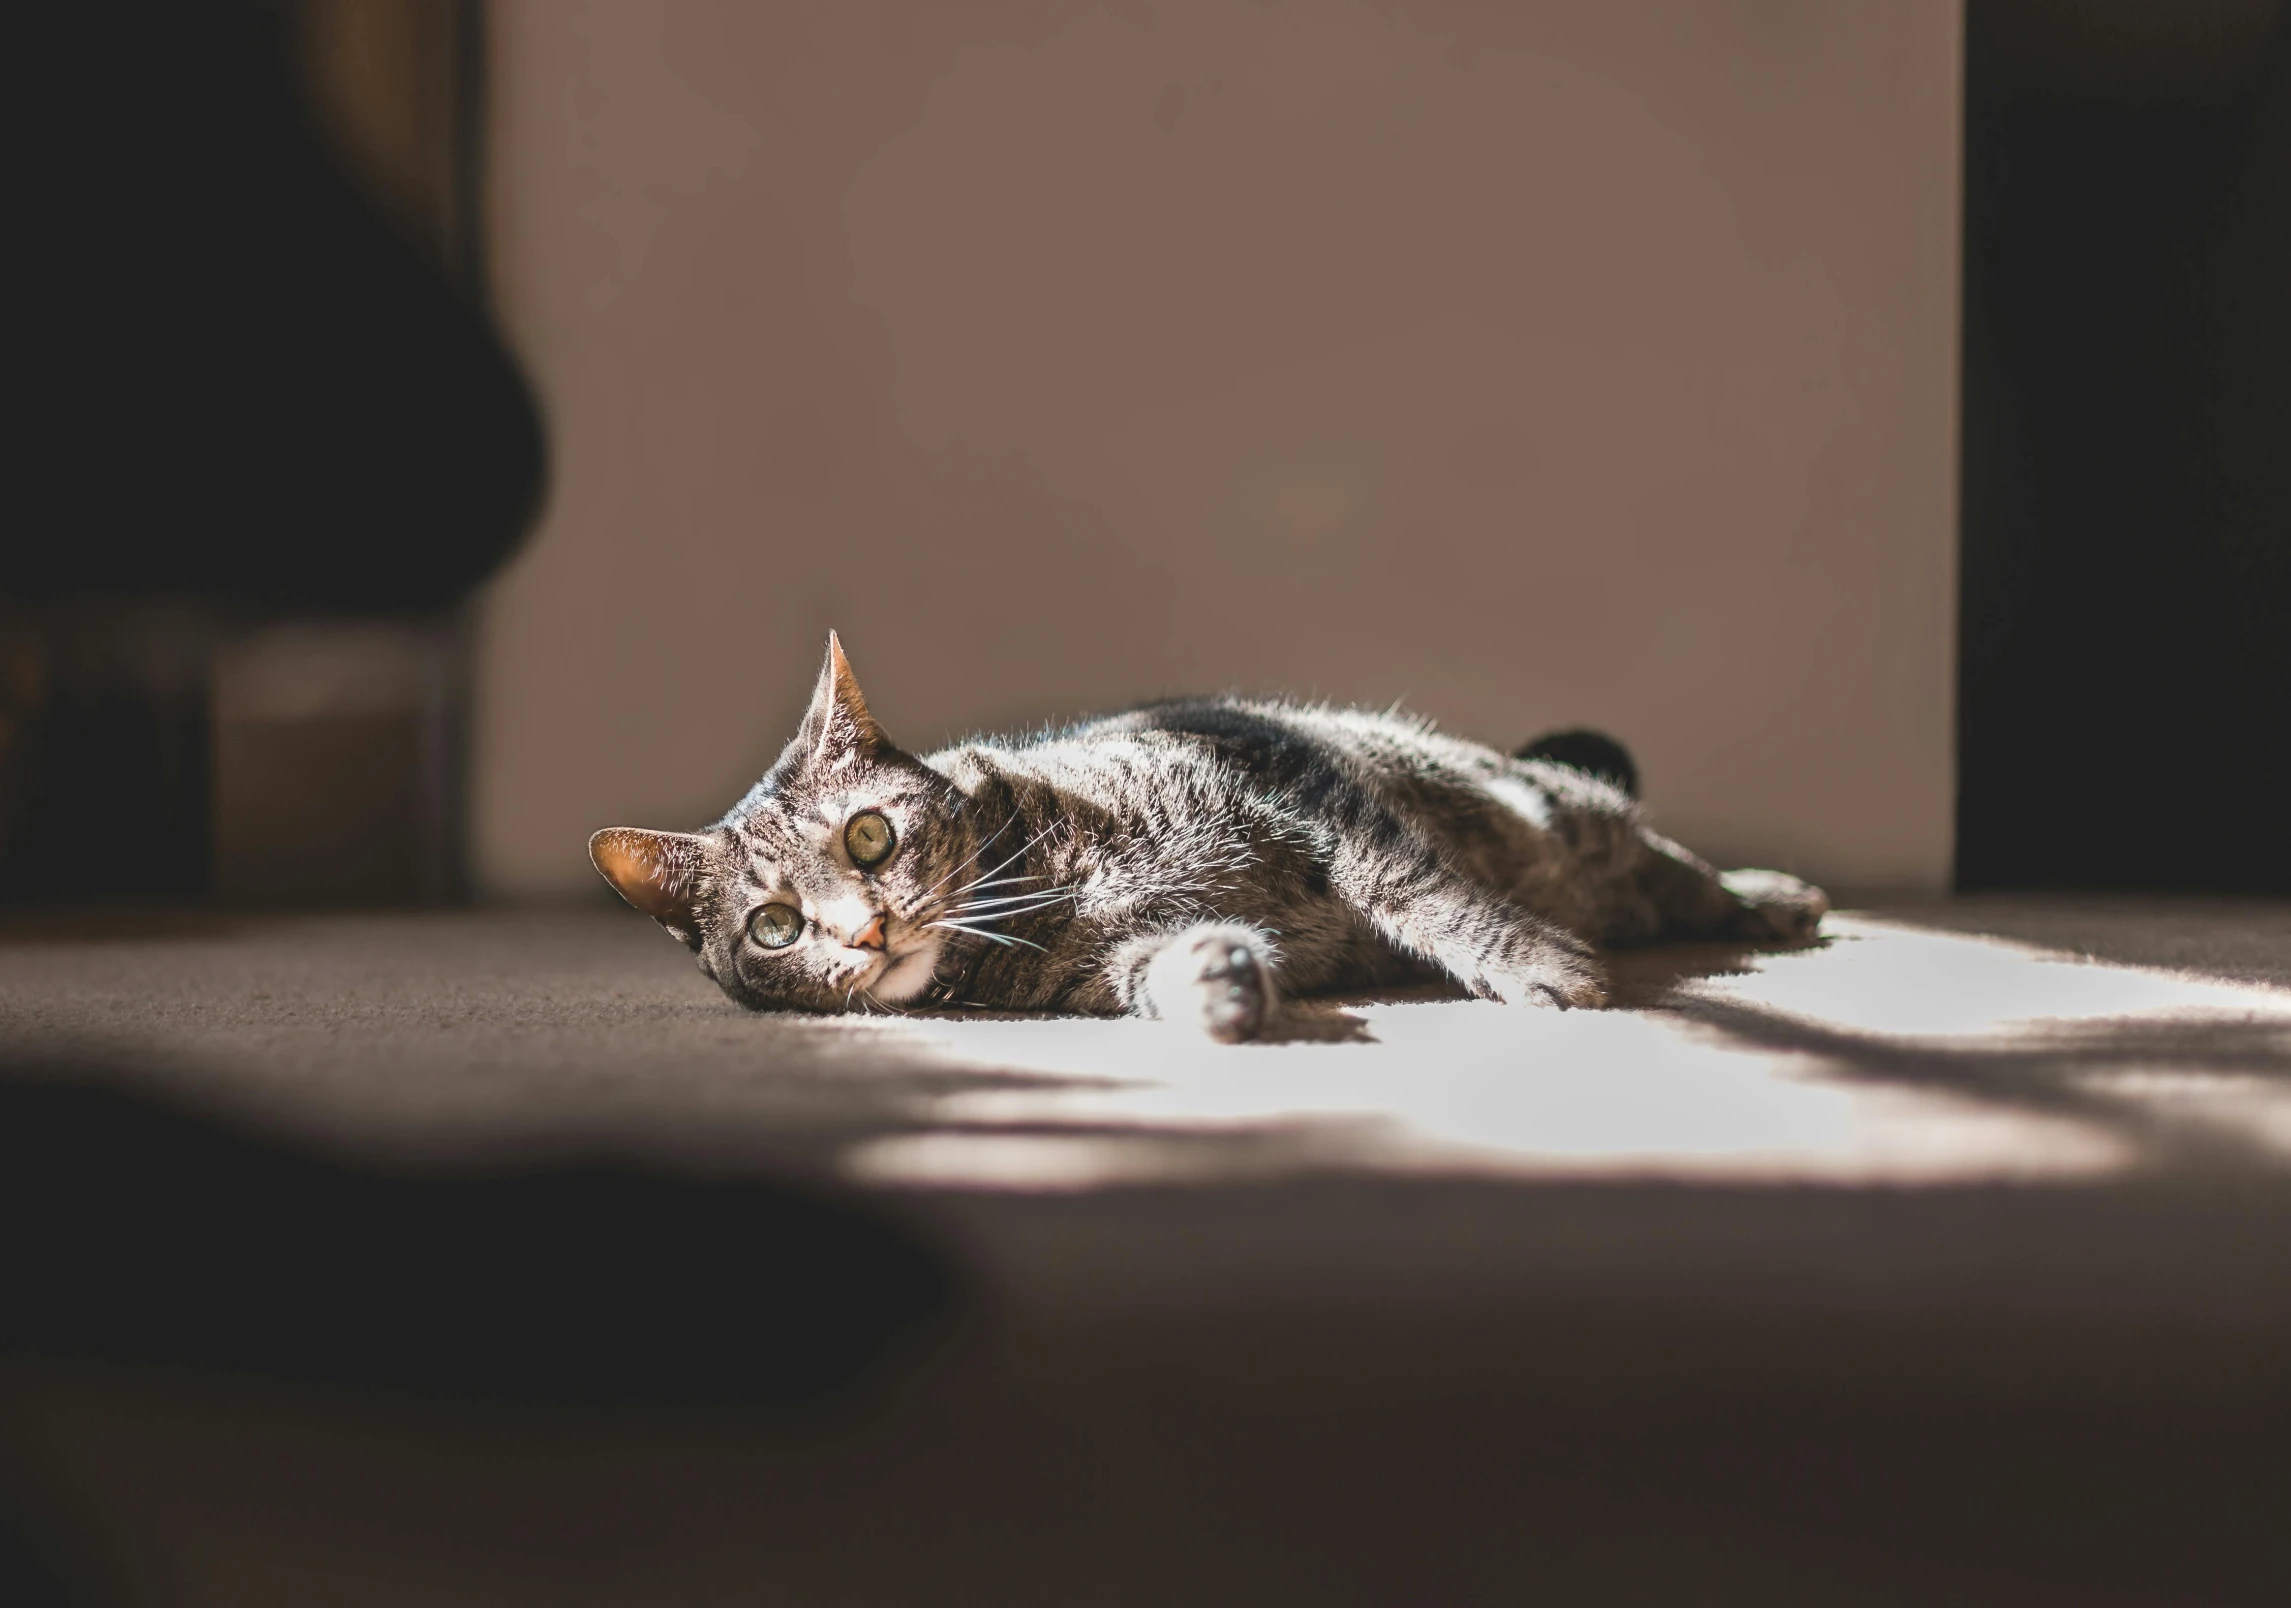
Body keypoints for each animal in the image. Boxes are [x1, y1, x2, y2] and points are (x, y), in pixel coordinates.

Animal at [591, 636, 1823, 1039]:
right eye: (774, 928)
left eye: (865, 839)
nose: (864, 931)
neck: (1048, 886)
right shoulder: (1106, 974)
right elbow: (1165, 968)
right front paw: (1217, 983)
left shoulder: (1310, 800)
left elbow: (1426, 898)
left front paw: (1531, 966)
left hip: (1569, 821)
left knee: (1670, 870)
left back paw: (1775, 898)